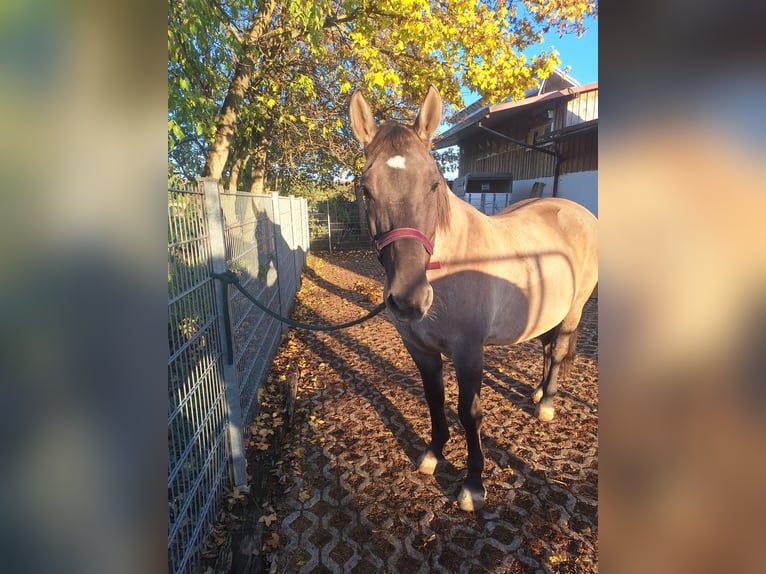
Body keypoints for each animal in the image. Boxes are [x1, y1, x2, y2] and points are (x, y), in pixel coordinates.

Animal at [349, 86, 598, 511]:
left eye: (434, 184)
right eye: (366, 189)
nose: (410, 300)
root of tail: (577, 212)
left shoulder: (469, 352)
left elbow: (470, 413)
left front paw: (473, 484)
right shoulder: (420, 350)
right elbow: (434, 400)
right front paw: (433, 455)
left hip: (574, 310)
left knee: (560, 349)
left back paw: (547, 404)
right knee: (549, 347)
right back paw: (537, 392)